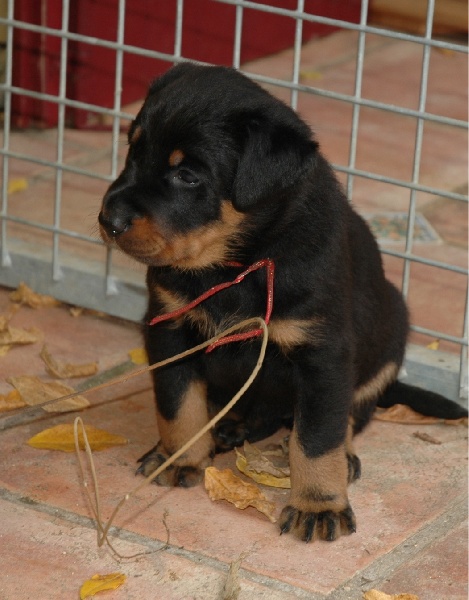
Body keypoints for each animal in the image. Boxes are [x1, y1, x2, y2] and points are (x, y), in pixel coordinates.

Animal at [98, 62, 464, 544]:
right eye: (133, 151)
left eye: (188, 175)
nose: (109, 220)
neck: (238, 263)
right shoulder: (169, 325)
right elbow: (177, 403)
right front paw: (180, 458)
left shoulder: (322, 353)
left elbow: (317, 437)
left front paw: (318, 504)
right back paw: (229, 425)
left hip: (390, 332)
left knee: (345, 416)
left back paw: (339, 455)